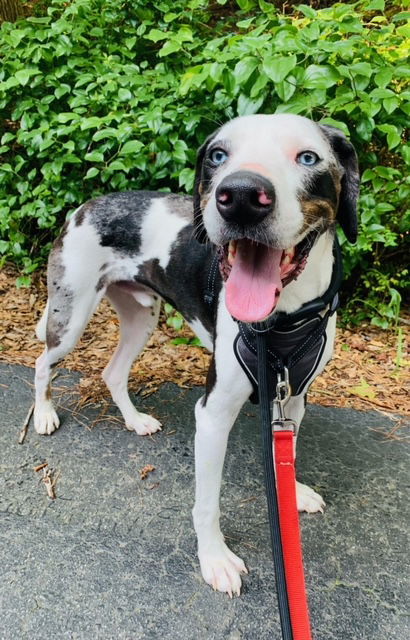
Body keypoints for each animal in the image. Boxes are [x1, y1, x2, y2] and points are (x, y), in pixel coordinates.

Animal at [32, 114, 358, 596]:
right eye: (218, 155)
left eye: (308, 157)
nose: (240, 197)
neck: (282, 318)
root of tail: (87, 205)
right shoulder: (213, 414)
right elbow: (207, 504)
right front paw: (215, 559)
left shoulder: (293, 395)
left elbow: (287, 450)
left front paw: (292, 492)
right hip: (70, 317)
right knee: (42, 362)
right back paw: (43, 414)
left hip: (141, 318)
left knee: (113, 372)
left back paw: (135, 420)